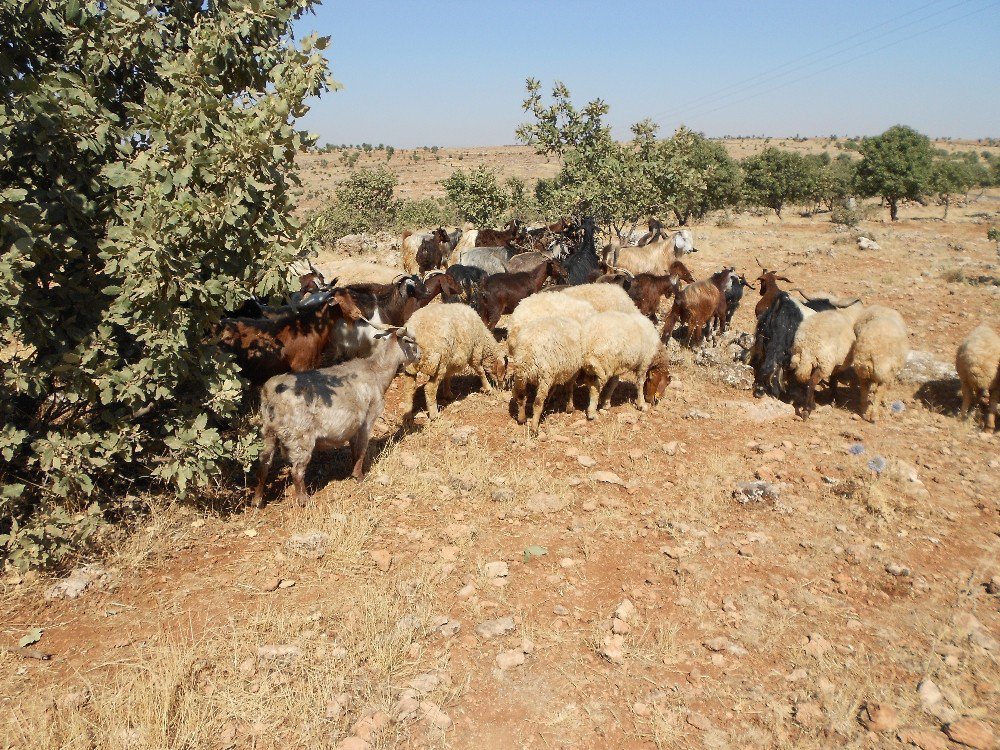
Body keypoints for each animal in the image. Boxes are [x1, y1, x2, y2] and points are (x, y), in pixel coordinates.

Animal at [256, 328, 420, 508]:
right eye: (410, 342)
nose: (420, 355)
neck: (377, 371)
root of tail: (270, 392)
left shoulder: (352, 426)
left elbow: (355, 449)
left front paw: (354, 472)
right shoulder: (367, 419)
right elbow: (362, 449)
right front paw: (360, 477)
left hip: (269, 432)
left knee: (264, 463)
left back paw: (257, 500)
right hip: (300, 436)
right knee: (296, 470)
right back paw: (304, 500)